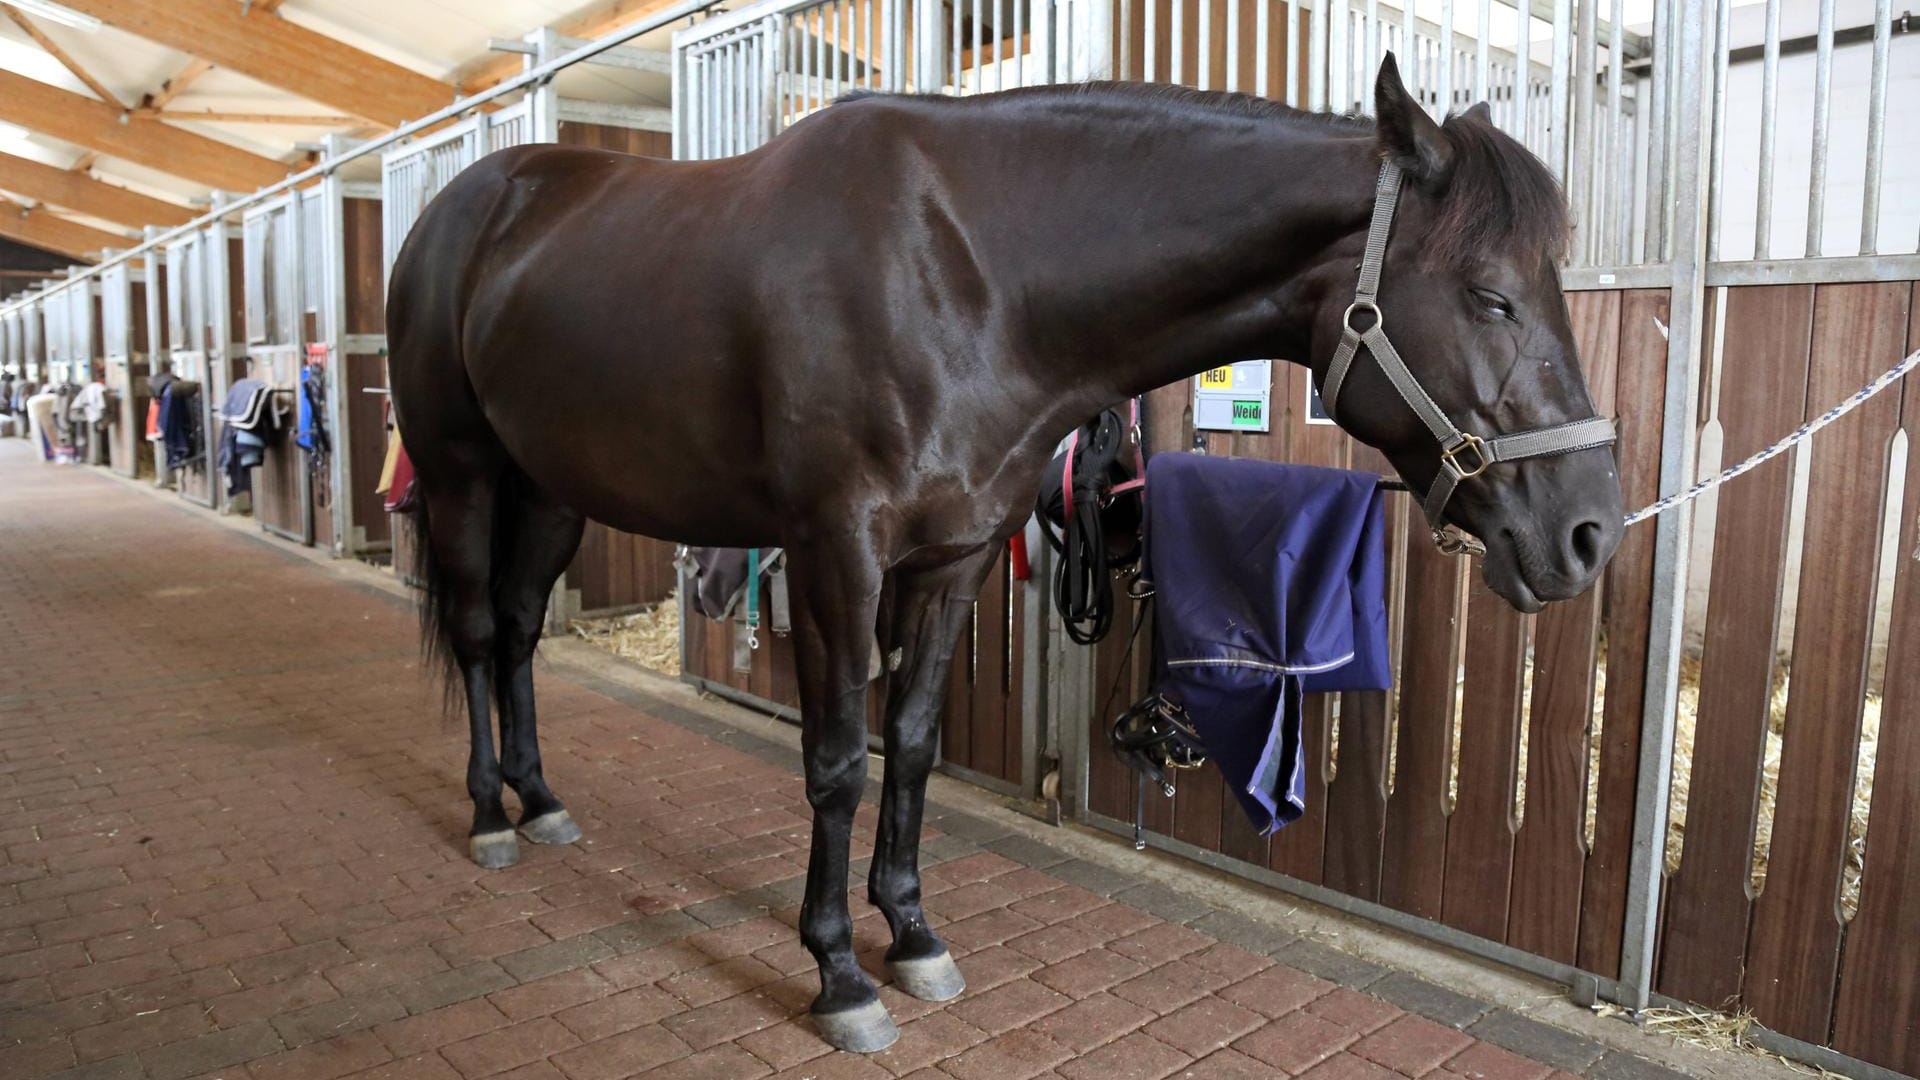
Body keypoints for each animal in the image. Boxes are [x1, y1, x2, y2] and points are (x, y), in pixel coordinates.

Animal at [385, 54, 1620, 1045]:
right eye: (1490, 296)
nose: (1590, 533)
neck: (965, 276)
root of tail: (466, 207)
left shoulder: (957, 557)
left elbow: (912, 743)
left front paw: (911, 934)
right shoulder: (836, 553)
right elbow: (836, 761)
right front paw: (839, 975)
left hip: (550, 490)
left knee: (522, 634)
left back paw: (542, 800)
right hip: (461, 473)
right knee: (483, 631)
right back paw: (490, 815)